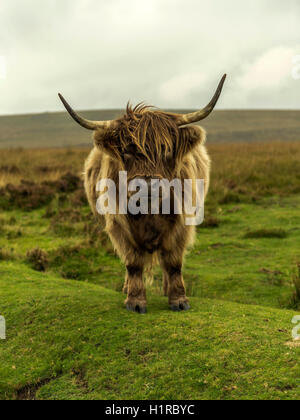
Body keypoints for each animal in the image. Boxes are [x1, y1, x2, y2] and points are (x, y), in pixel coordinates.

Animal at [58, 74, 225, 314]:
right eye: (126, 150)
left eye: (166, 149)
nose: (146, 185)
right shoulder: (118, 225)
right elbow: (133, 262)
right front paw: (135, 300)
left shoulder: (182, 224)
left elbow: (173, 262)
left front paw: (178, 299)